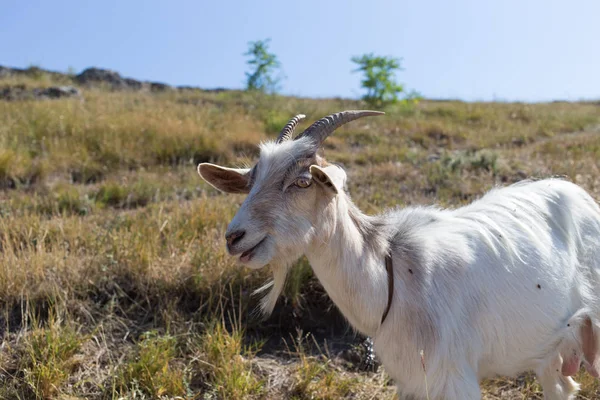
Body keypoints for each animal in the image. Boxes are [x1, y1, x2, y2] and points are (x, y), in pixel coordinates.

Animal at [197, 110, 600, 400]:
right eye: (251, 180)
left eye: (303, 181)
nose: (234, 237)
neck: (392, 275)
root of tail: (581, 195)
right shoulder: (411, 382)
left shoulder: (455, 378)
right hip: (552, 347)